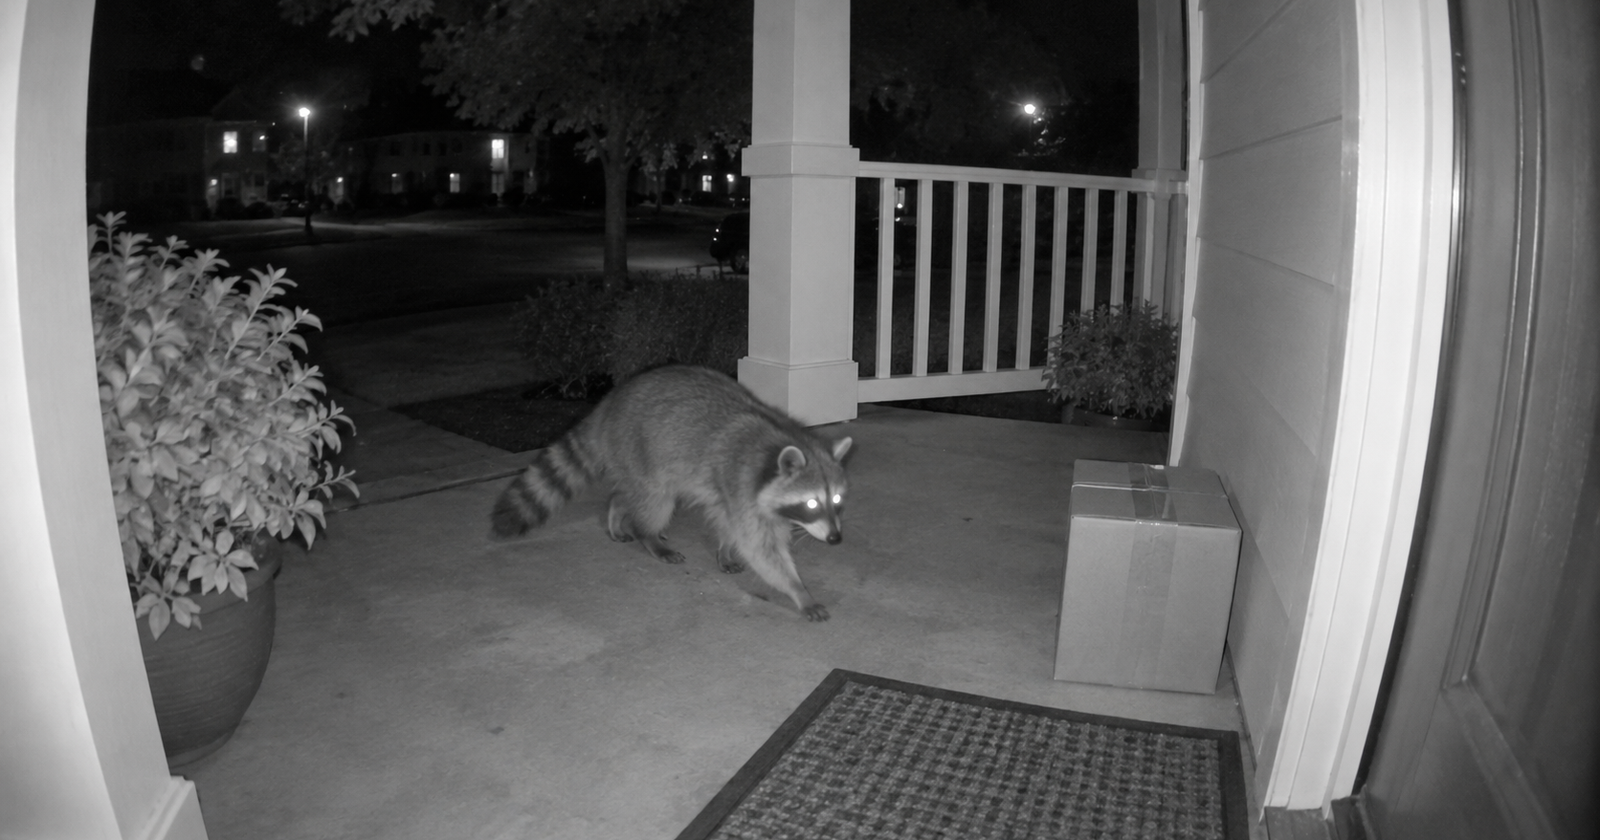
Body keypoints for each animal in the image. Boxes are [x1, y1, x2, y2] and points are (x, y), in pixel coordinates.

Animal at [491, 365, 852, 621]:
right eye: (811, 503)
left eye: (836, 500)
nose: (836, 540)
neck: (777, 442)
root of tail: (609, 403)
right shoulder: (740, 484)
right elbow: (761, 549)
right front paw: (799, 590)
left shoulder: (733, 494)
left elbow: (729, 524)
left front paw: (724, 549)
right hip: (639, 446)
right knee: (655, 499)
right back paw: (646, 533)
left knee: (633, 492)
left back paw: (617, 509)